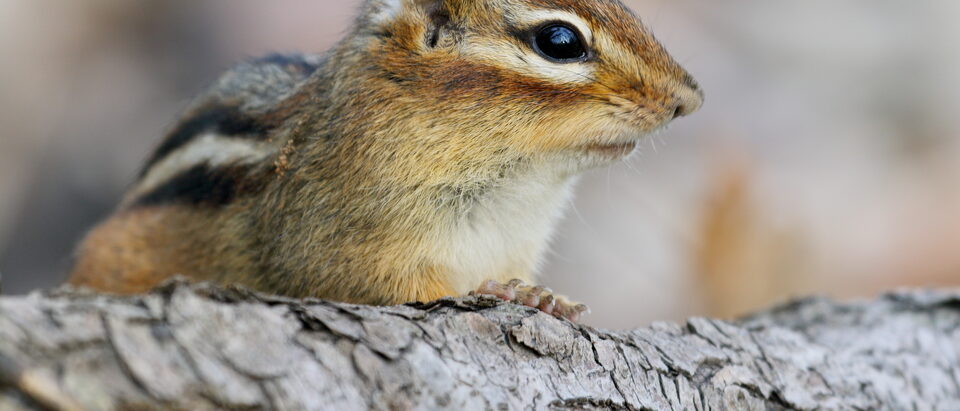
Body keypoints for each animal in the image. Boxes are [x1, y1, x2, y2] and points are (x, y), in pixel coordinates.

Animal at [67, 0, 702, 322]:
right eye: (559, 41)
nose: (688, 99)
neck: (518, 184)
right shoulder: (338, 244)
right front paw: (508, 294)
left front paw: (541, 295)